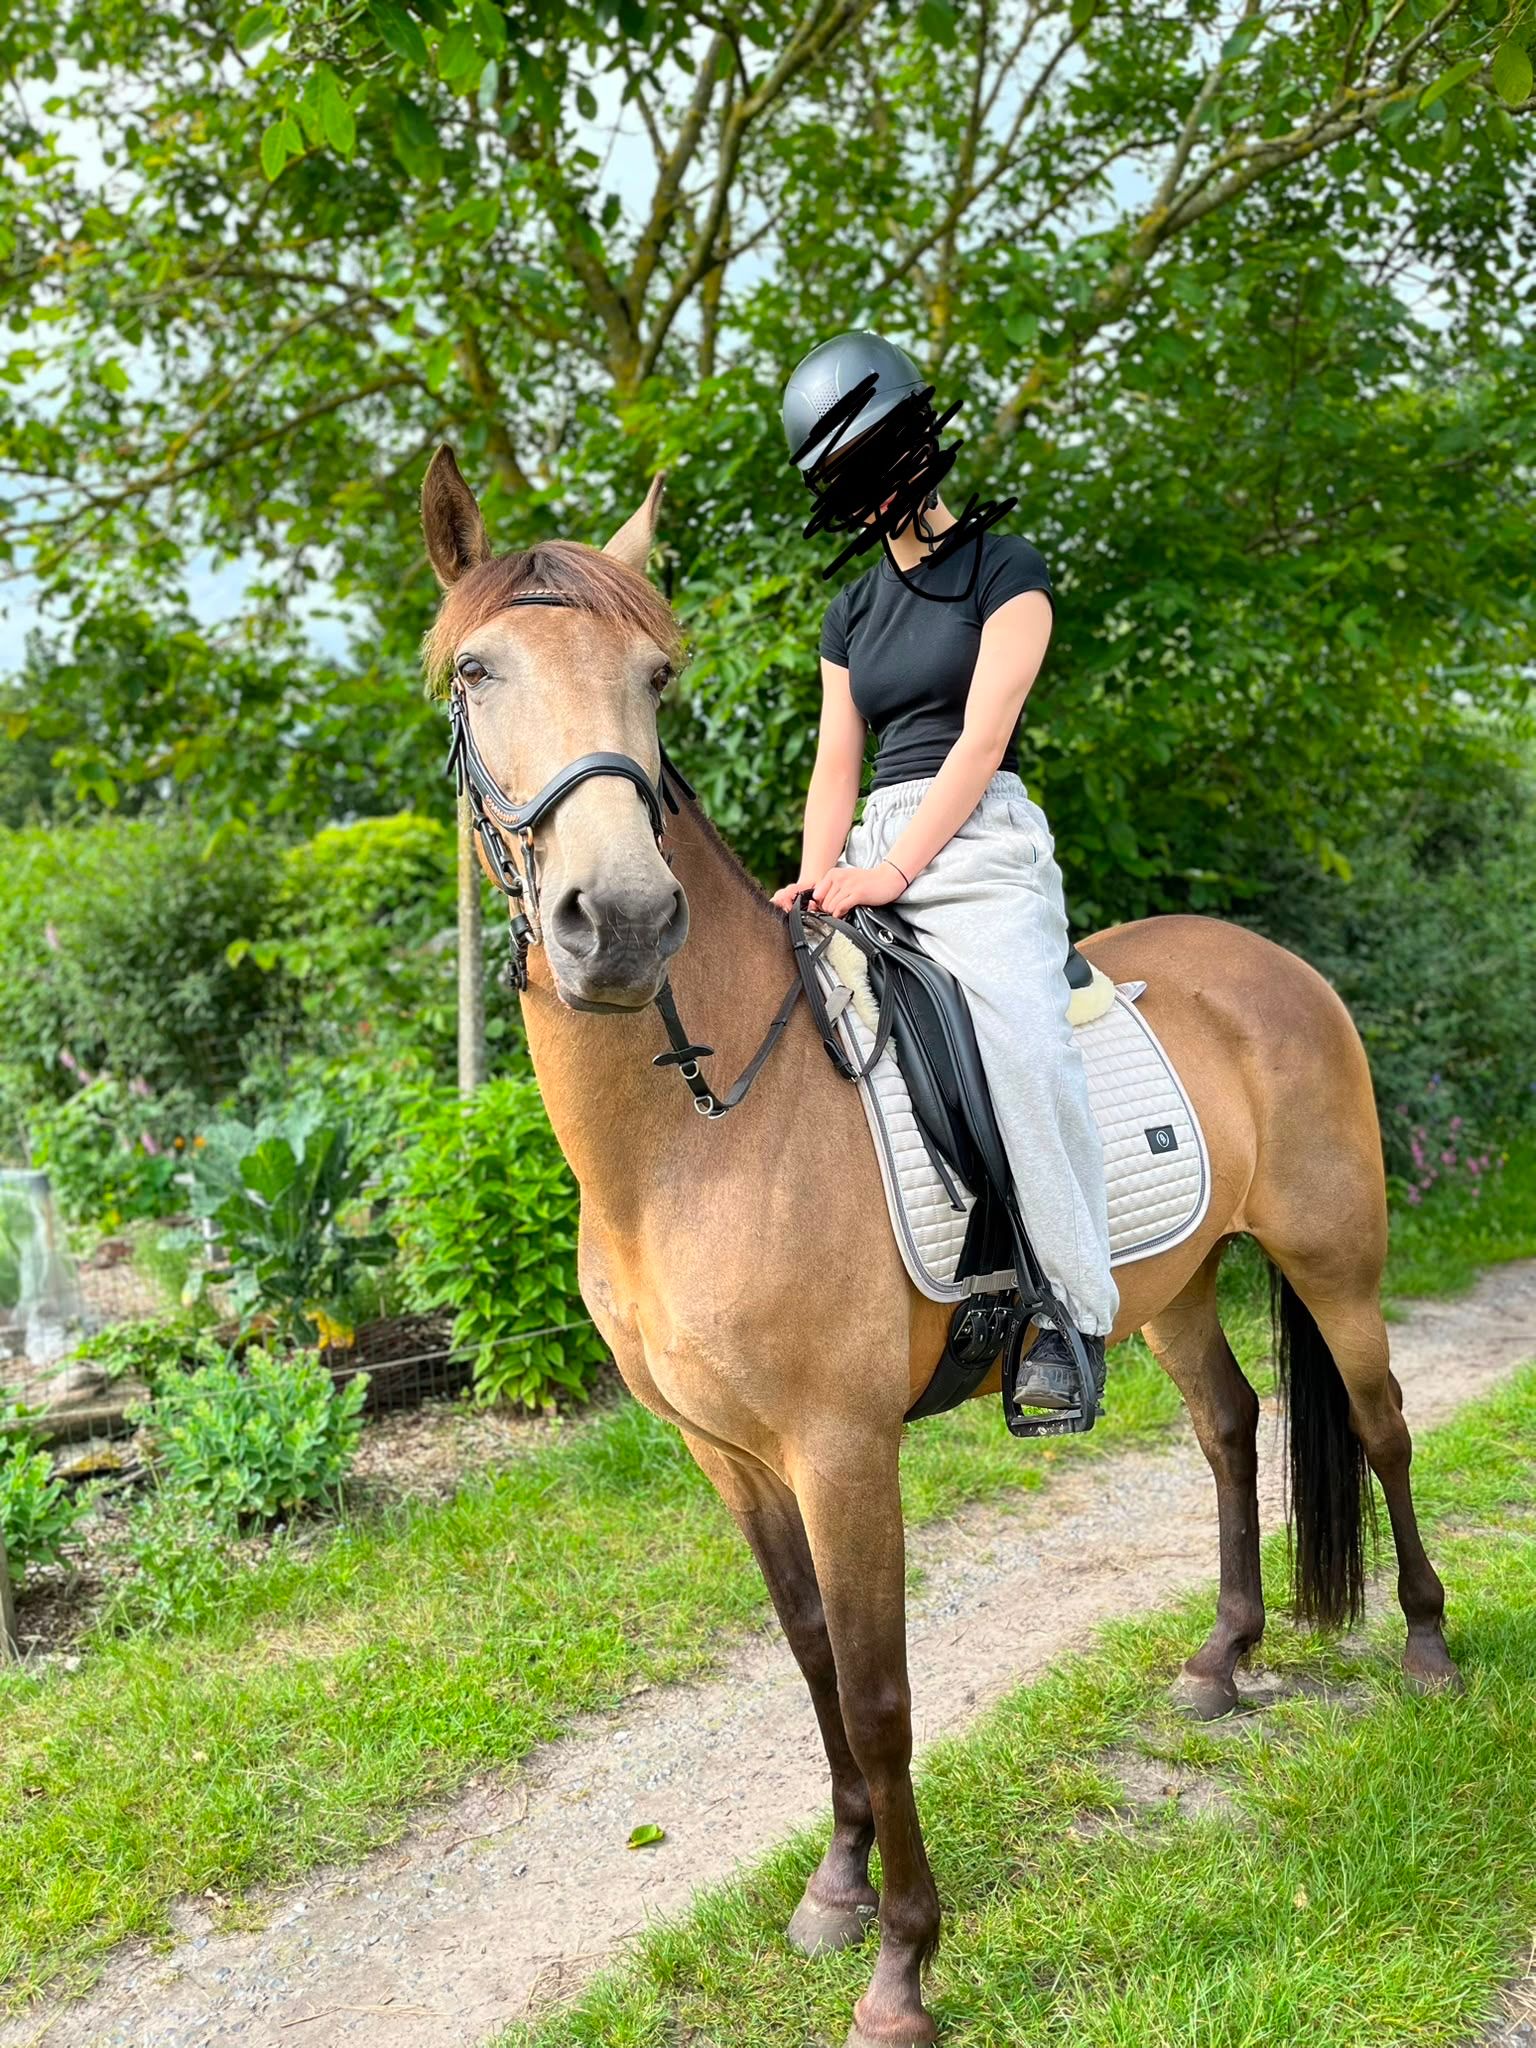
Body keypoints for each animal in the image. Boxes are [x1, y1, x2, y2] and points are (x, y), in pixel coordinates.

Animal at [418, 446, 1459, 2048]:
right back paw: (1224, 1659)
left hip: (1334, 1257)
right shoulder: (728, 1455)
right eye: (478, 670)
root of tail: (1273, 963)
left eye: (657, 678)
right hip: (1167, 1292)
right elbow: (808, 1660)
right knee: (1233, 1426)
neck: (696, 1138)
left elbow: (882, 1688)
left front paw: (903, 1966)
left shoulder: (844, 1449)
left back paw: (1423, 1646)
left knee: (1385, 1424)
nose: (624, 921)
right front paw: (837, 1888)